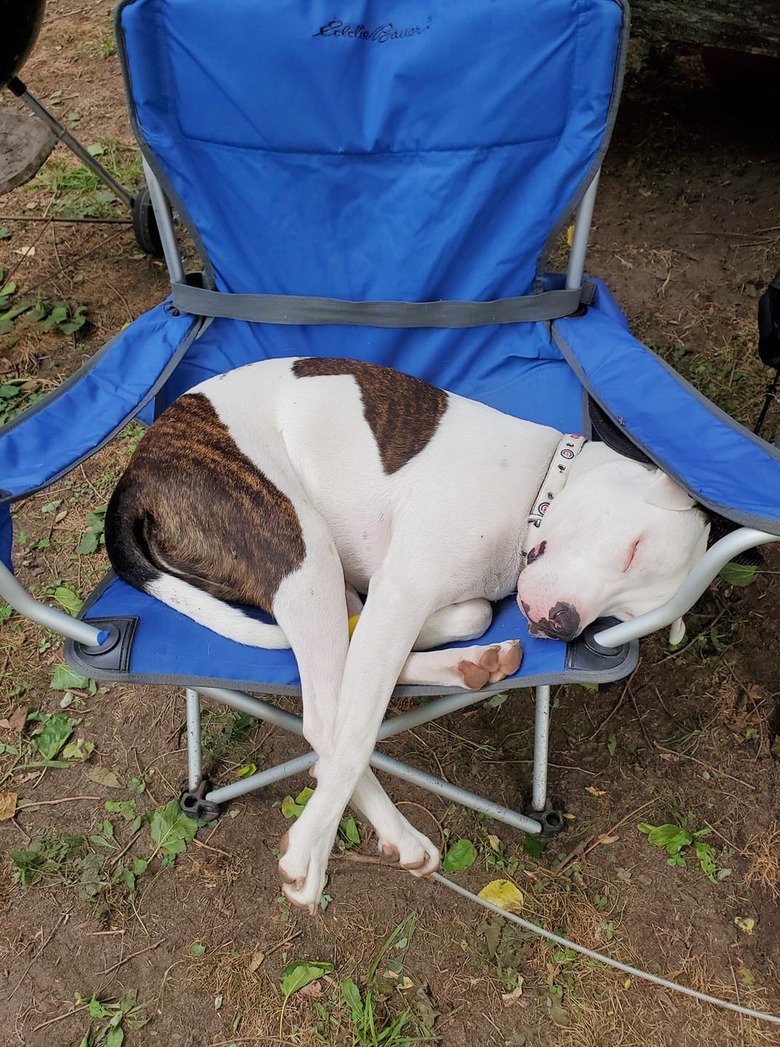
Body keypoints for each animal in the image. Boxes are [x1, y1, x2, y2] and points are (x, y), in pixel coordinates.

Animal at [106, 355, 707, 912]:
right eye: (633, 550)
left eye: (618, 616)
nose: (562, 623)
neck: (538, 486)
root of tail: (136, 472)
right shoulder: (403, 588)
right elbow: (354, 730)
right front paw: (307, 848)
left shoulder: (402, 594)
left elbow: (469, 615)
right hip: (300, 549)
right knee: (327, 716)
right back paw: (373, 837)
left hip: (324, 576)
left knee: (343, 667)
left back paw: (471, 666)